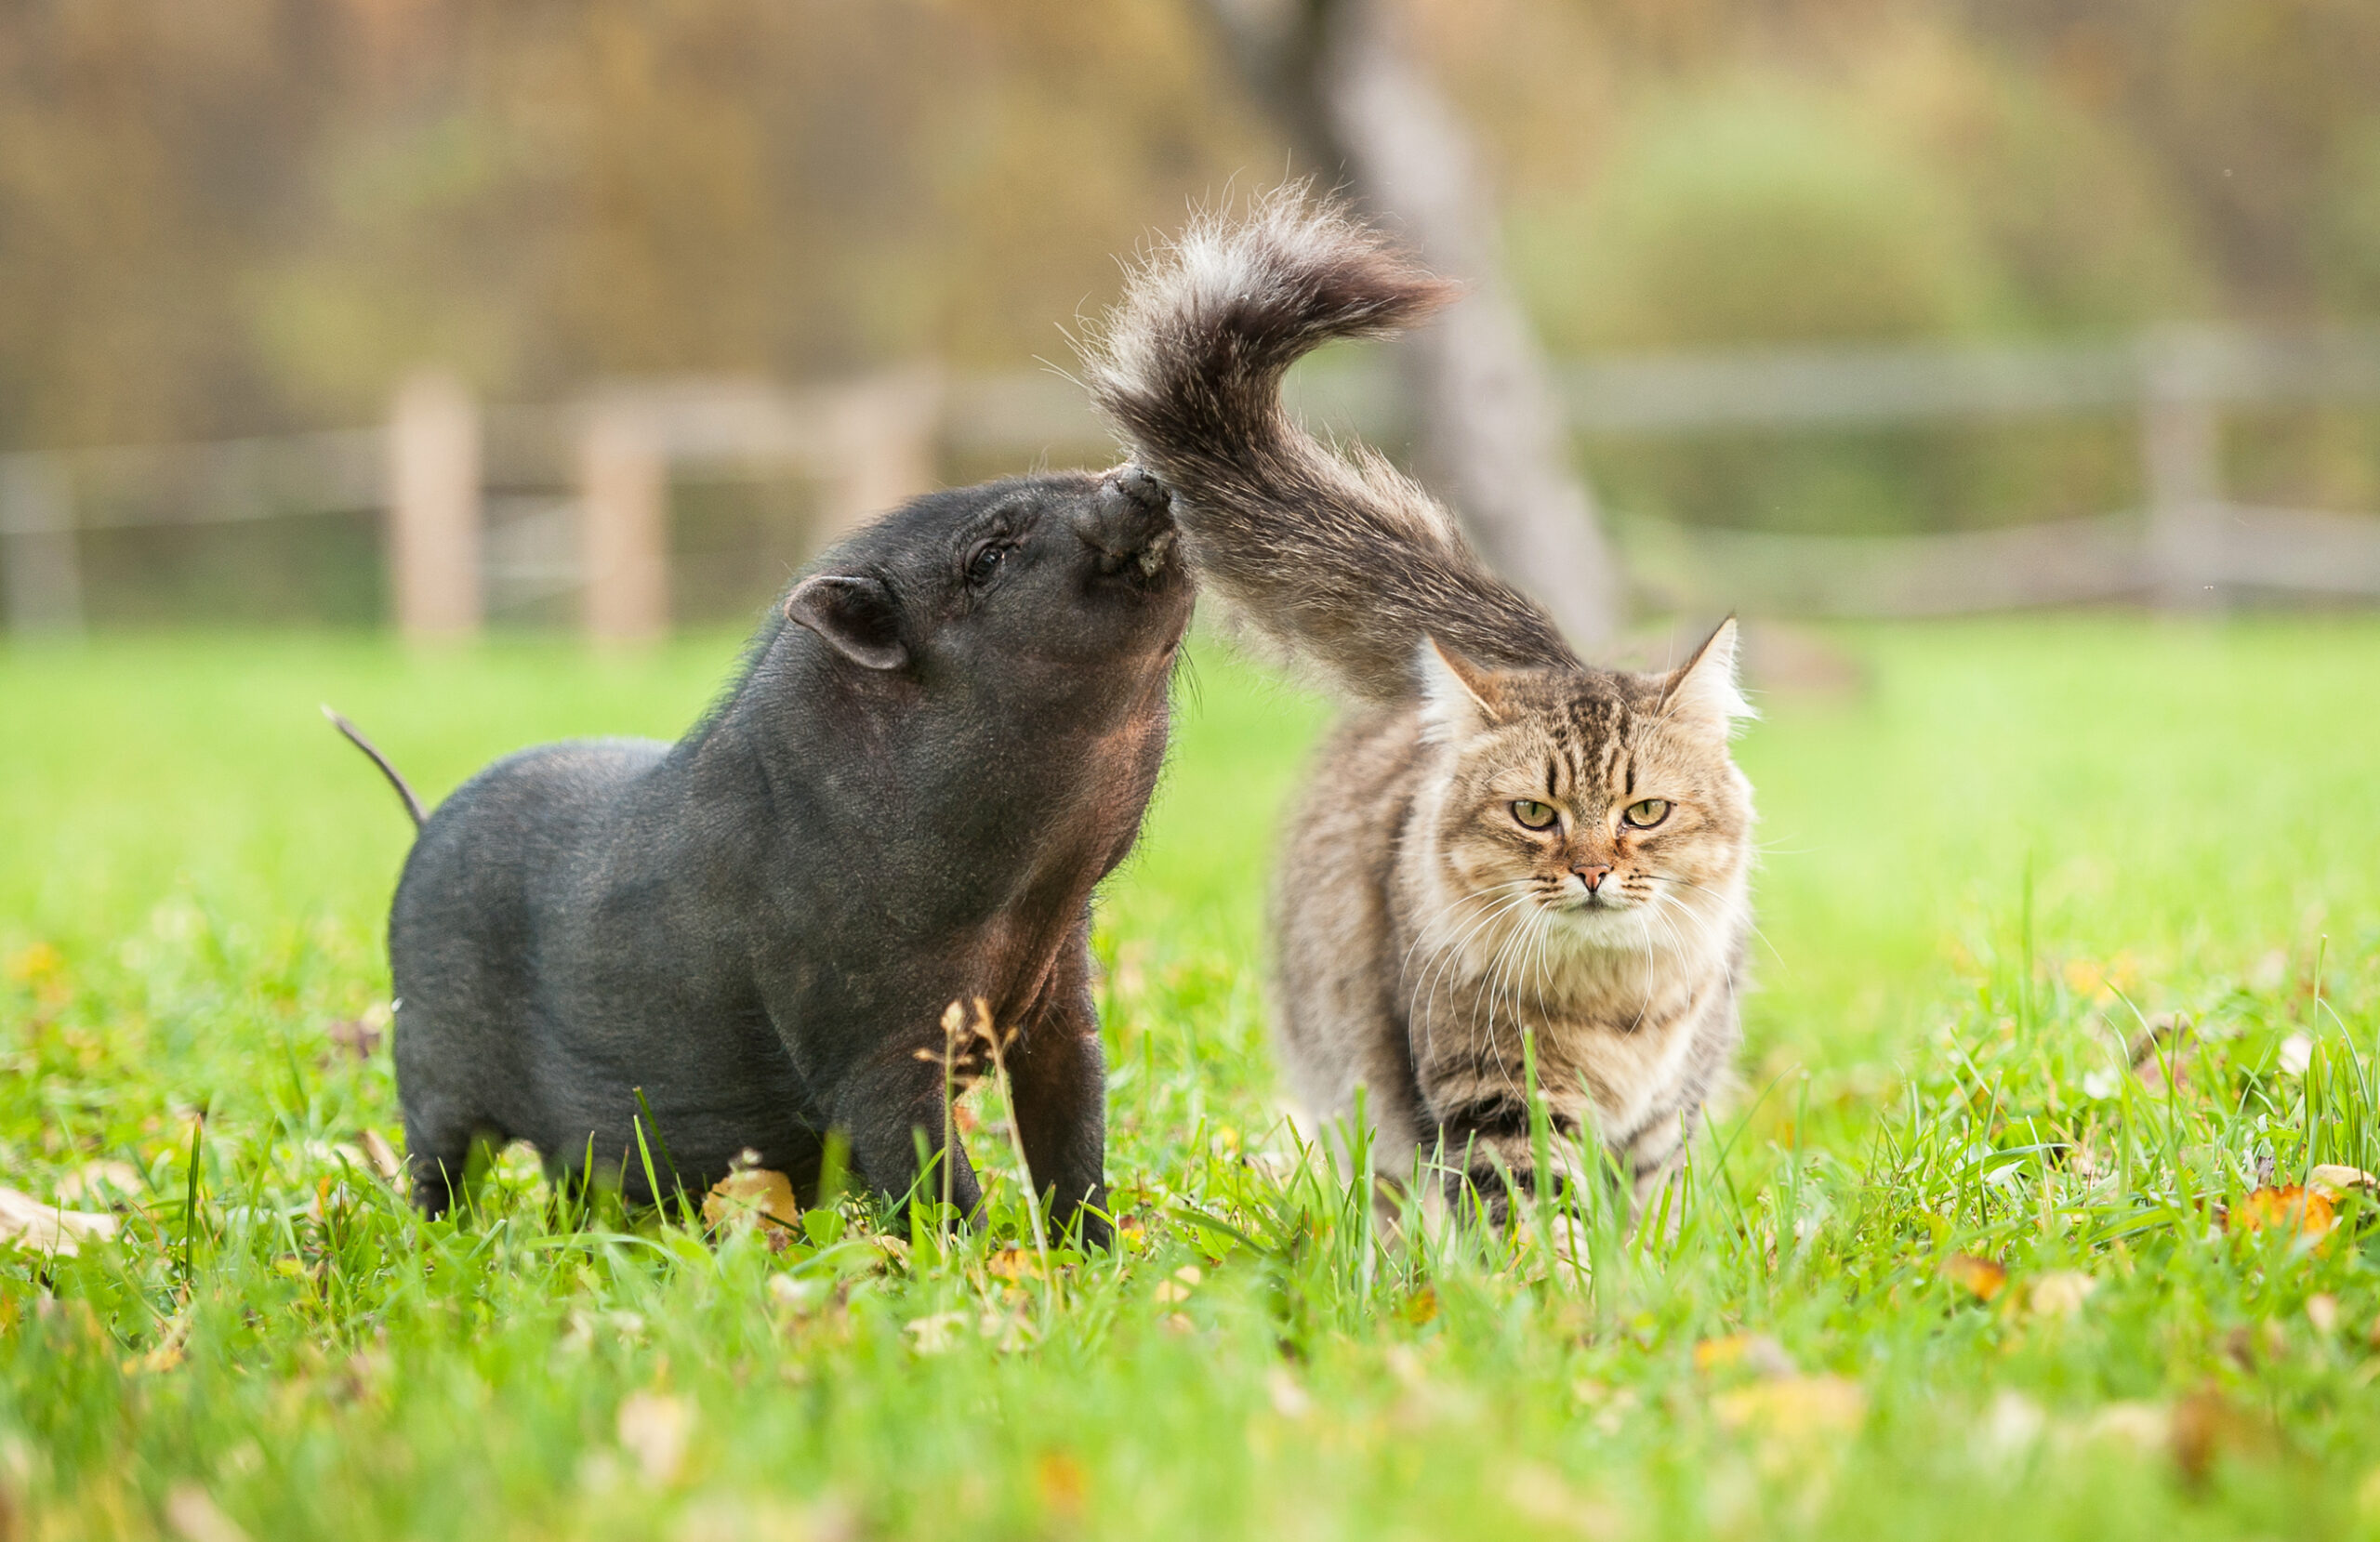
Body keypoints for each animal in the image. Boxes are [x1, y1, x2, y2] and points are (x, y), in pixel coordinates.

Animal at [340, 466, 1184, 1237]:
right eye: (989, 557)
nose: (1140, 476)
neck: (1025, 902)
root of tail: (423, 825)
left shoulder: (1062, 1001)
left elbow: (1073, 1142)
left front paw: (1093, 1261)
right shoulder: (863, 1047)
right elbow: (934, 1179)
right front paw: (982, 1270)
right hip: (430, 1069)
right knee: (439, 1169)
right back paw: (435, 1236)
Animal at [1090, 192, 1761, 1208]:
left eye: (1644, 813)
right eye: (1534, 815)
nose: (1592, 872)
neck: (1607, 1004)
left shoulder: (1661, 1120)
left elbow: (1644, 1220)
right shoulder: (1497, 1104)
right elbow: (1540, 1227)